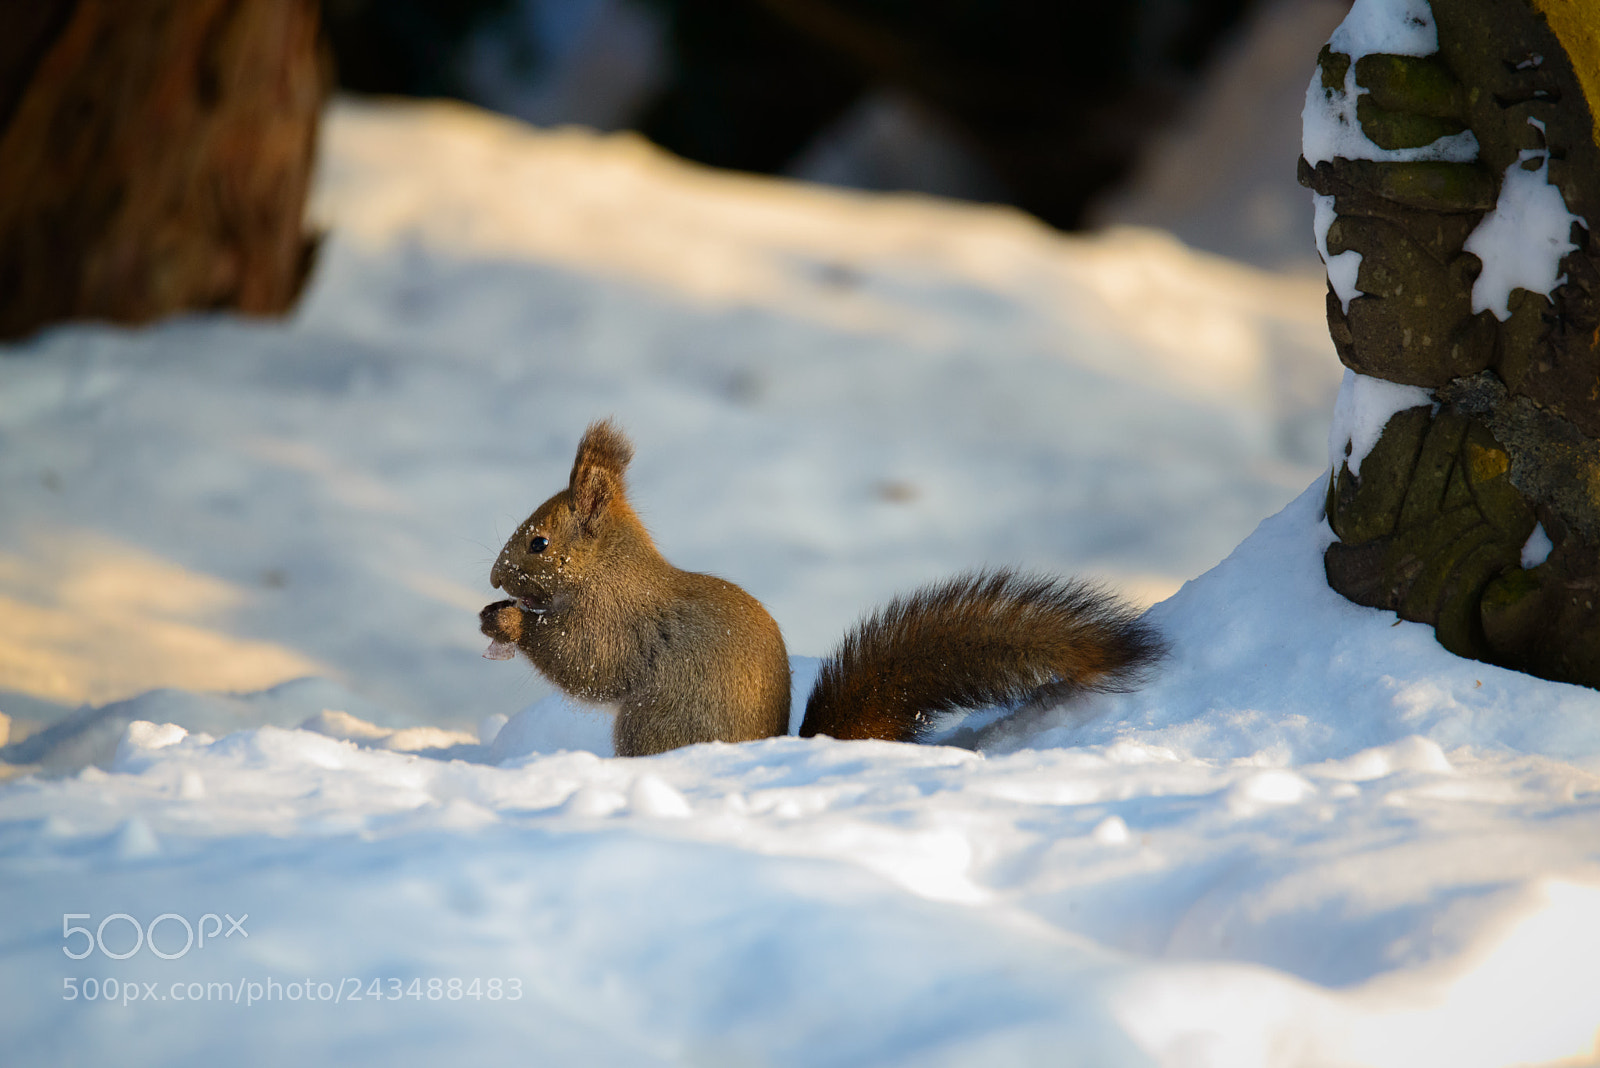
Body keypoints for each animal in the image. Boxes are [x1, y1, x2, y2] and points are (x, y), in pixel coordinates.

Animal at [480, 419, 1165, 757]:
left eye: (538, 543)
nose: (494, 578)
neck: (610, 573)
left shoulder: (618, 624)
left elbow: (587, 663)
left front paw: (506, 621)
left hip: (655, 727)